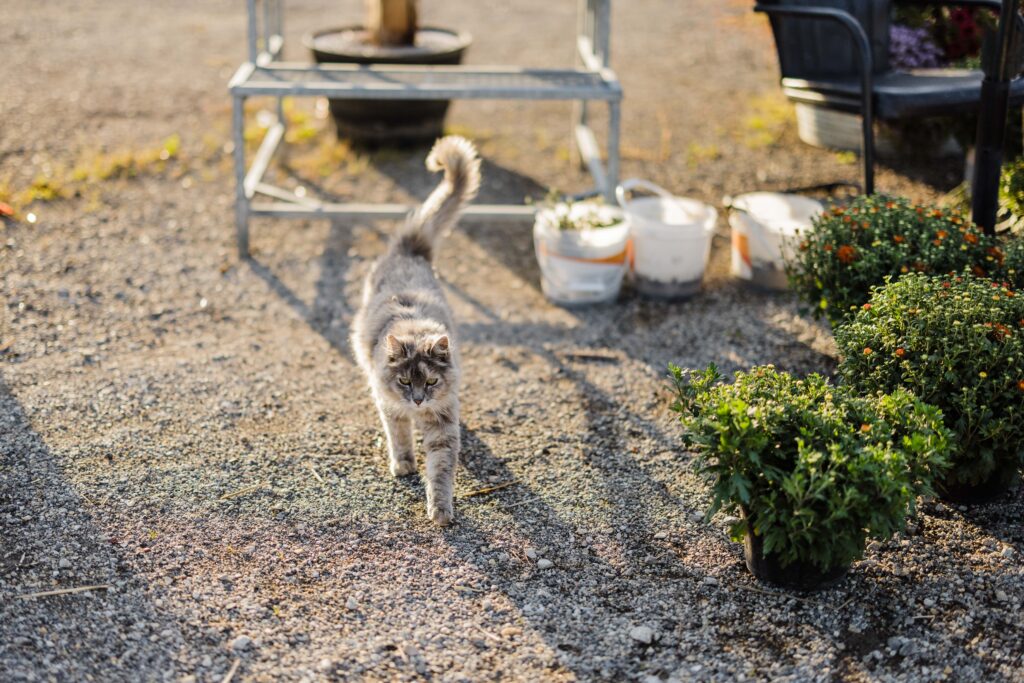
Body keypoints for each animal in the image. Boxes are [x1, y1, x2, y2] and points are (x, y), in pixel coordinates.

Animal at [352, 136, 479, 528]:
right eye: (406, 382)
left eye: (431, 382)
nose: (419, 399)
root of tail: (410, 250)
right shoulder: (390, 408)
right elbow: (400, 439)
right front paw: (404, 465)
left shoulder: (442, 426)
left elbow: (440, 472)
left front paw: (440, 510)